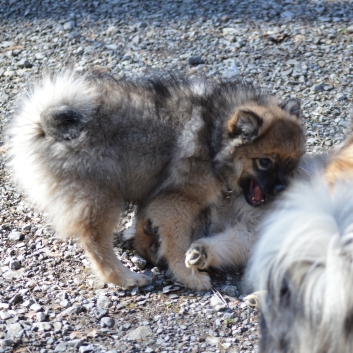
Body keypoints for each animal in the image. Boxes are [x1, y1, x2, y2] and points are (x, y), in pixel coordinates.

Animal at [8, 70, 306, 290]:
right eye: (264, 162)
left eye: (291, 163)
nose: (282, 188)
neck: (215, 137)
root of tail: (43, 125)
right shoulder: (176, 203)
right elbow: (176, 245)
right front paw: (189, 276)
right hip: (102, 197)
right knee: (95, 243)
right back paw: (125, 278)